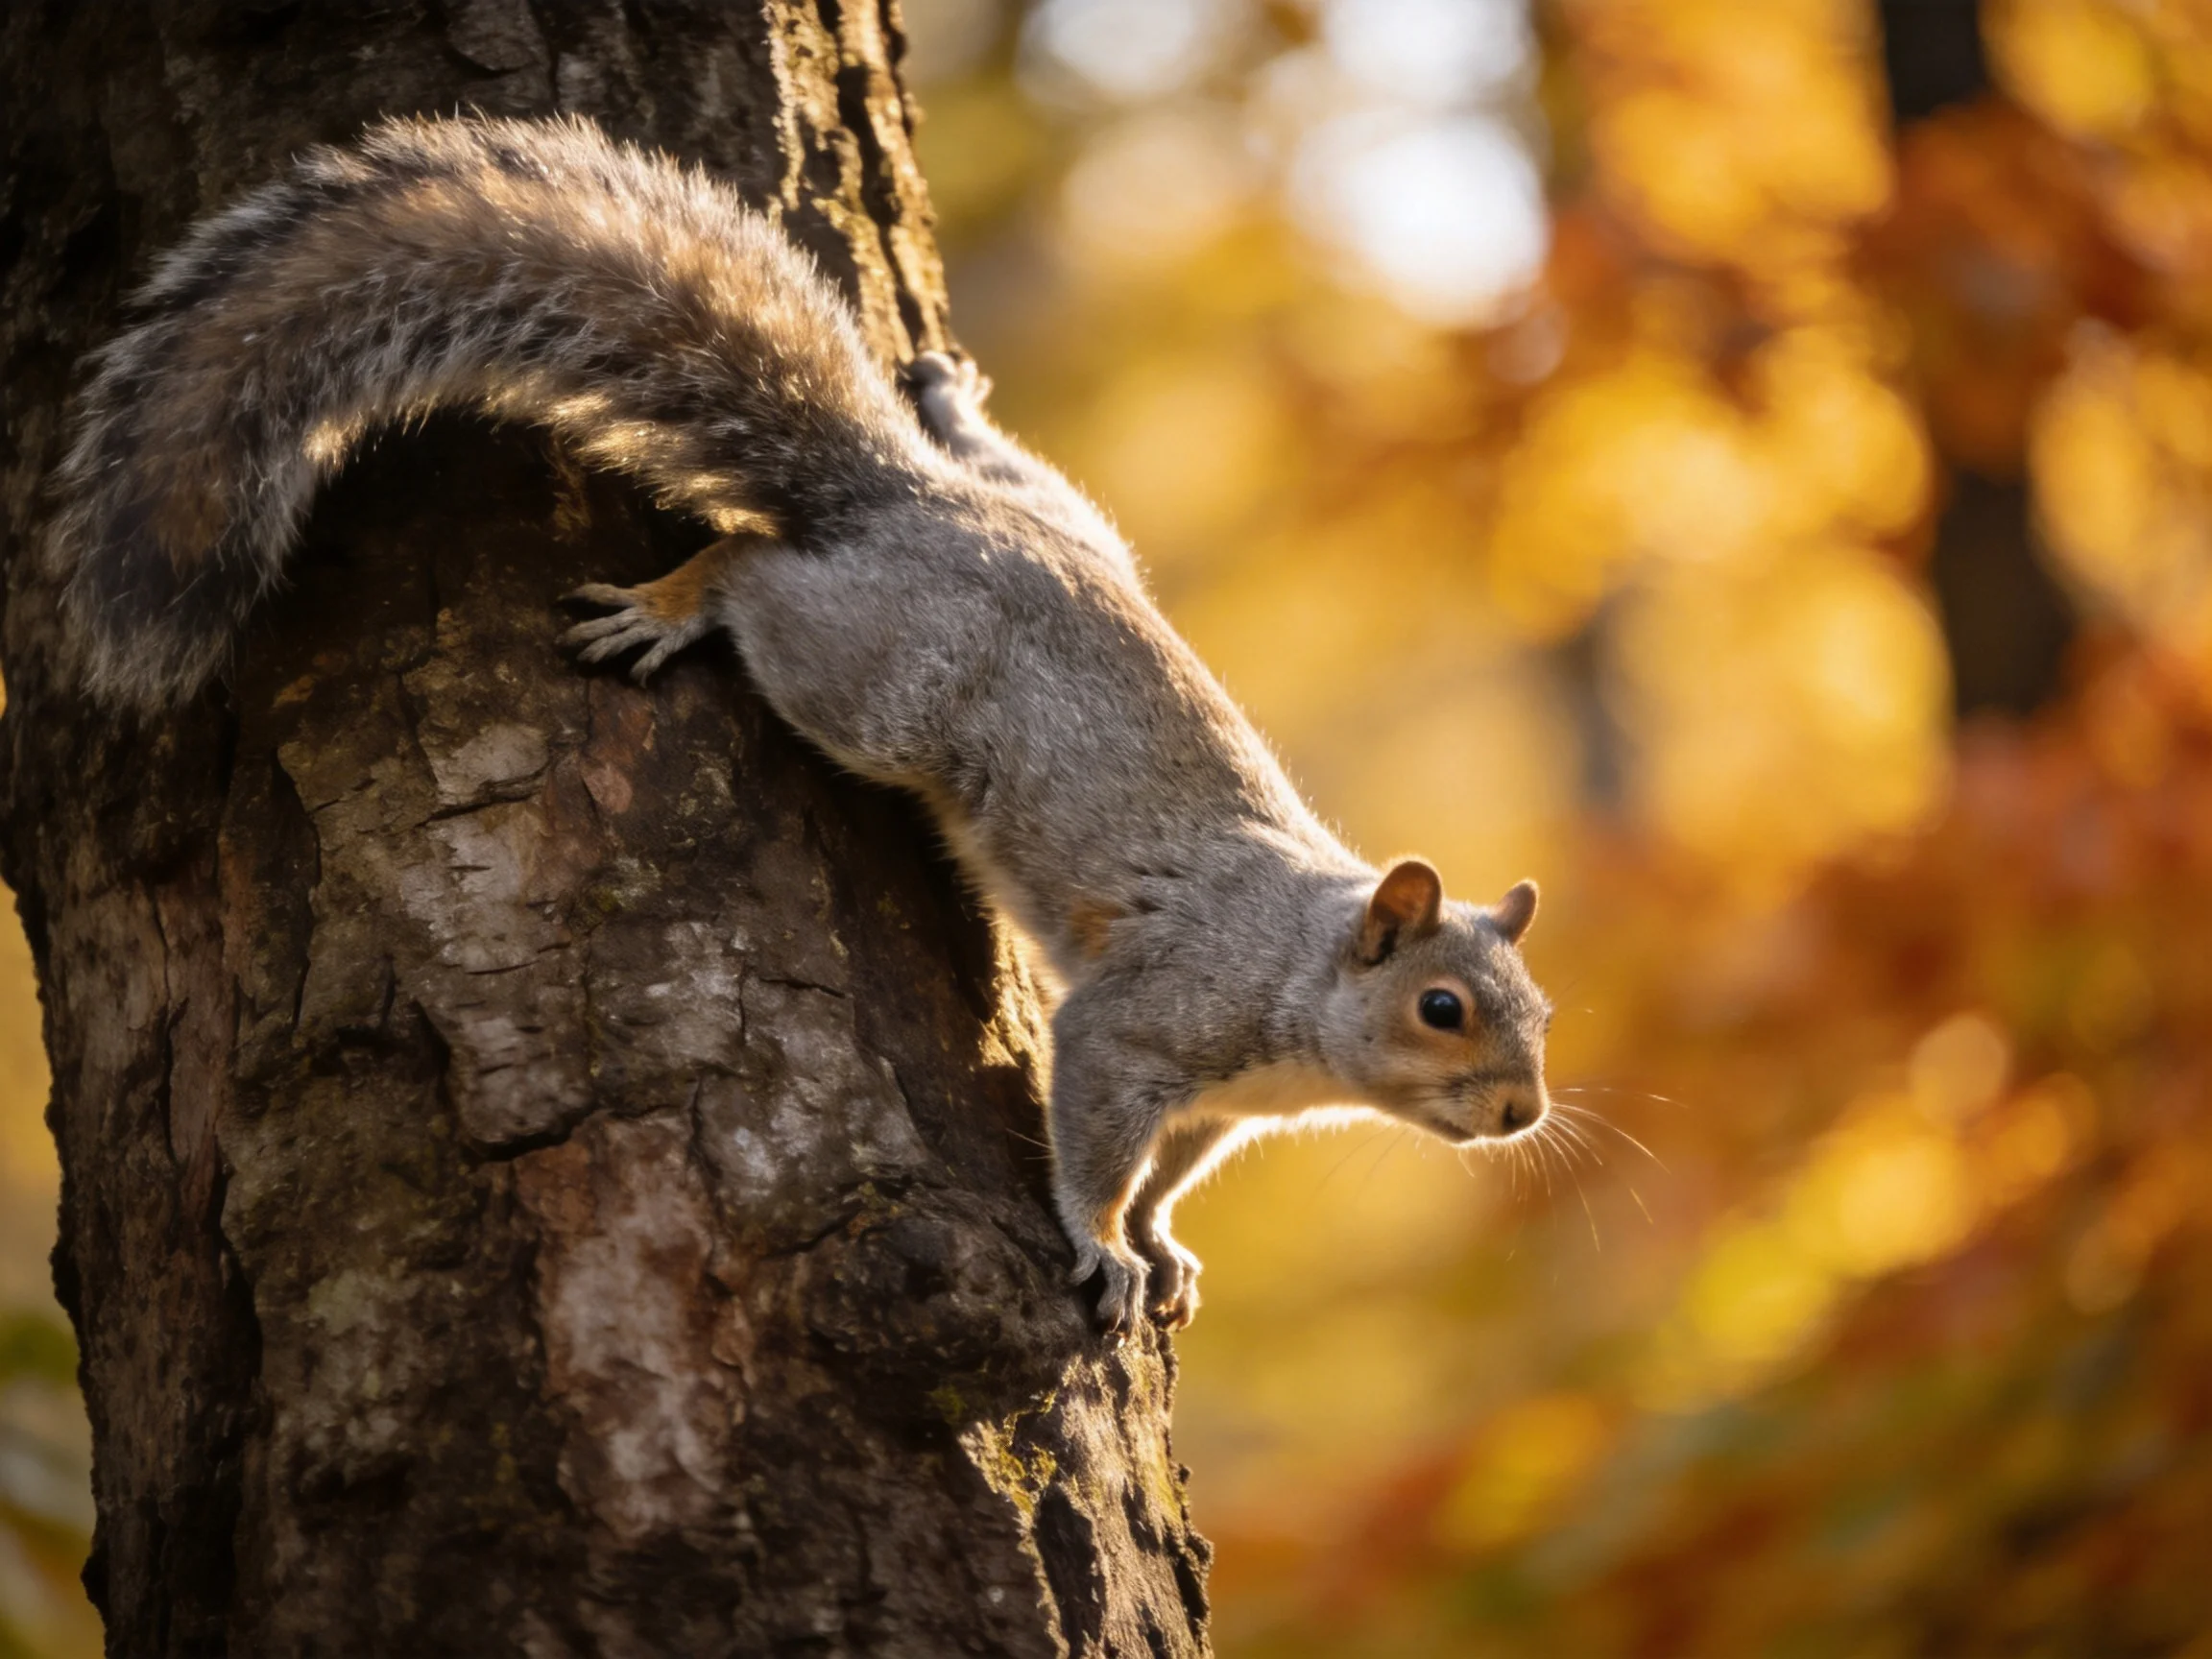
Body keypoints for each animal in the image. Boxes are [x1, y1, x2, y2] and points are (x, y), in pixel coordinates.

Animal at [44, 115, 1554, 1336]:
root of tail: (902, 507)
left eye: (1542, 1011)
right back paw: (679, 598)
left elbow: (1162, 1177)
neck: (1301, 983)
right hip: (880, 685)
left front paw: (1162, 1245)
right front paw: (1103, 1247)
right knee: (760, 568)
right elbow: (1090, 1135)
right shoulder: (1149, 1019)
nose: (1525, 1114)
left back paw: (947, 404)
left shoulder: (1211, 1108)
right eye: (1443, 1008)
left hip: (1063, 526)